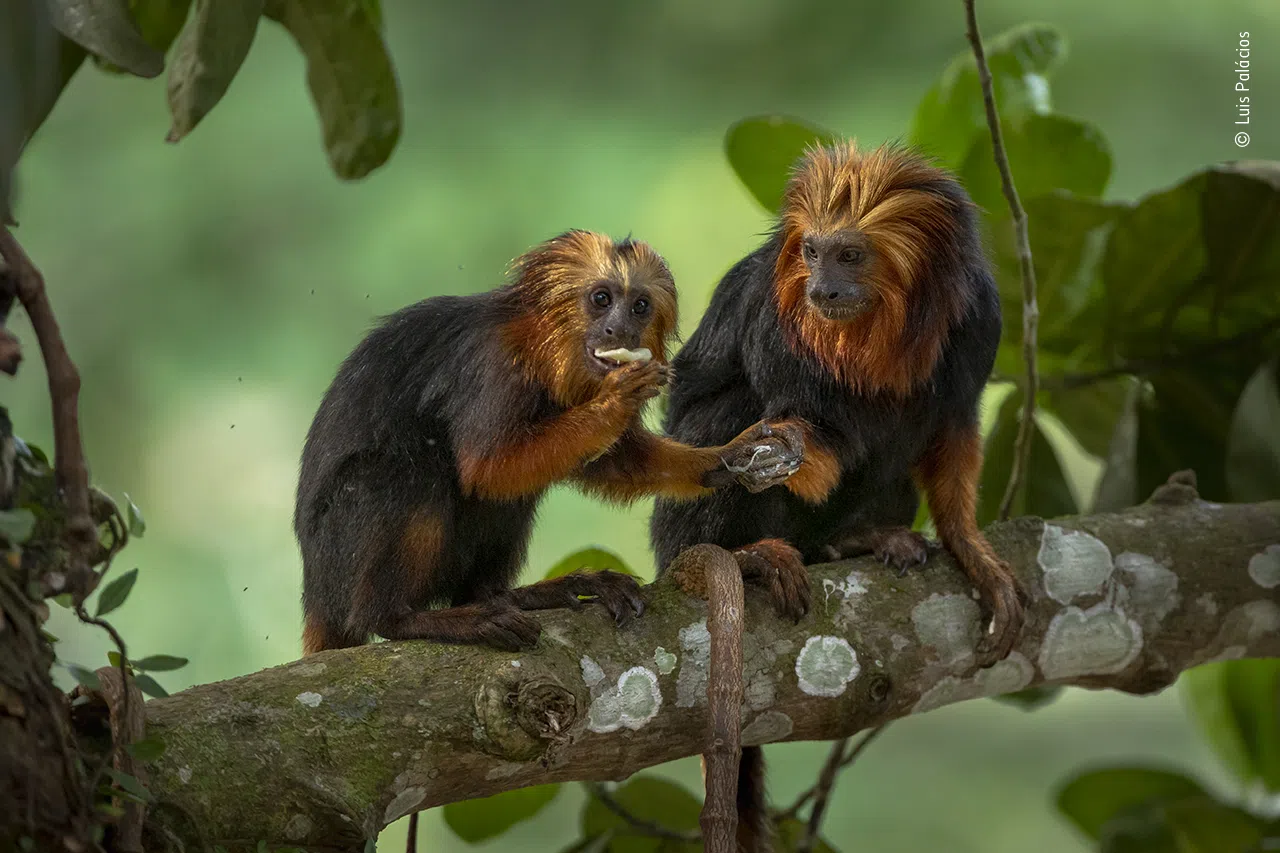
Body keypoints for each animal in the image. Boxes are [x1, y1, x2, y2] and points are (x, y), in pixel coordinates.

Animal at [294, 229, 803, 653]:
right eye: (601, 299)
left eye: (639, 306)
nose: (620, 330)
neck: (542, 349)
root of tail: (316, 594)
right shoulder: (493, 365)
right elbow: (486, 466)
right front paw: (616, 400)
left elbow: (609, 462)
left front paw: (726, 459)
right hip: (338, 560)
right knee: (409, 470)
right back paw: (405, 618)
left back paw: (511, 596)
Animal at [655, 142, 1024, 845]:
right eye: (812, 252)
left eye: (849, 255)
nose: (822, 287)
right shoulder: (772, 314)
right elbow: (796, 432)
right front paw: (789, 442)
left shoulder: (980, 318)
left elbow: (952, 425)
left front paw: (974, 551)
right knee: (728, 420)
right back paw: (746, 555)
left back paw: (853, 540)